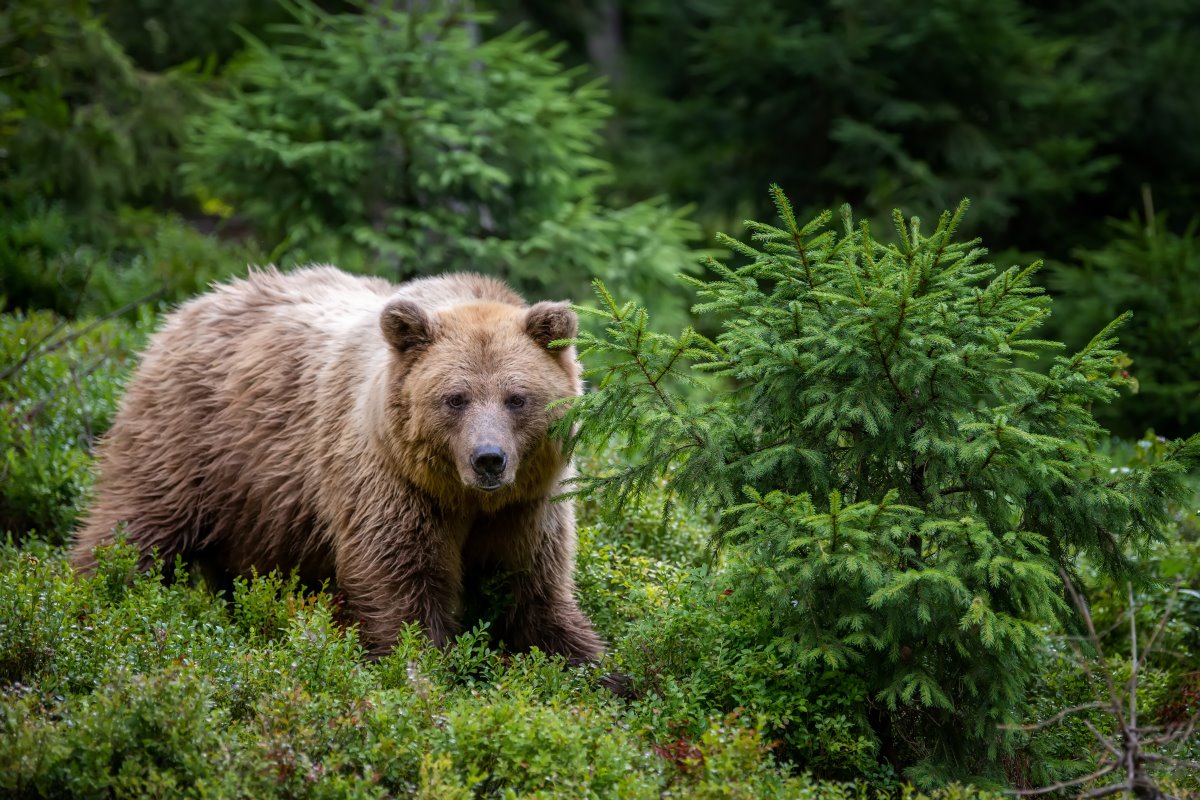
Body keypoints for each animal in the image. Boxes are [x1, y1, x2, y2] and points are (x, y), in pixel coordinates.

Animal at [70, 267, 604, 662]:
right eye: (455, 398)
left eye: (517, 398)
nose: (488, 459)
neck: (462, 498)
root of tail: (189, 306)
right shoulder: (389, 483)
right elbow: (400, 584)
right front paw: (422, 668)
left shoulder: (528, 505)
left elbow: (533, 592)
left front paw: (594, 668)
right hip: (192, 443)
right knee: (134, 525)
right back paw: (90, 598)